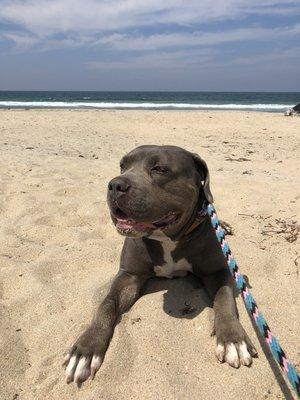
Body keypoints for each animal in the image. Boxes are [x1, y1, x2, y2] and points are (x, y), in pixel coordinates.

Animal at [63, 145, 255, 386]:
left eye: (160, 169)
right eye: (122, 166)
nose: (115, 185)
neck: (168, 238)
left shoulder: (218, 272)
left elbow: (224, 299)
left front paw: (232, 338)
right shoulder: (129, 276)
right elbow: (106, 303)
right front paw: (86, 348)